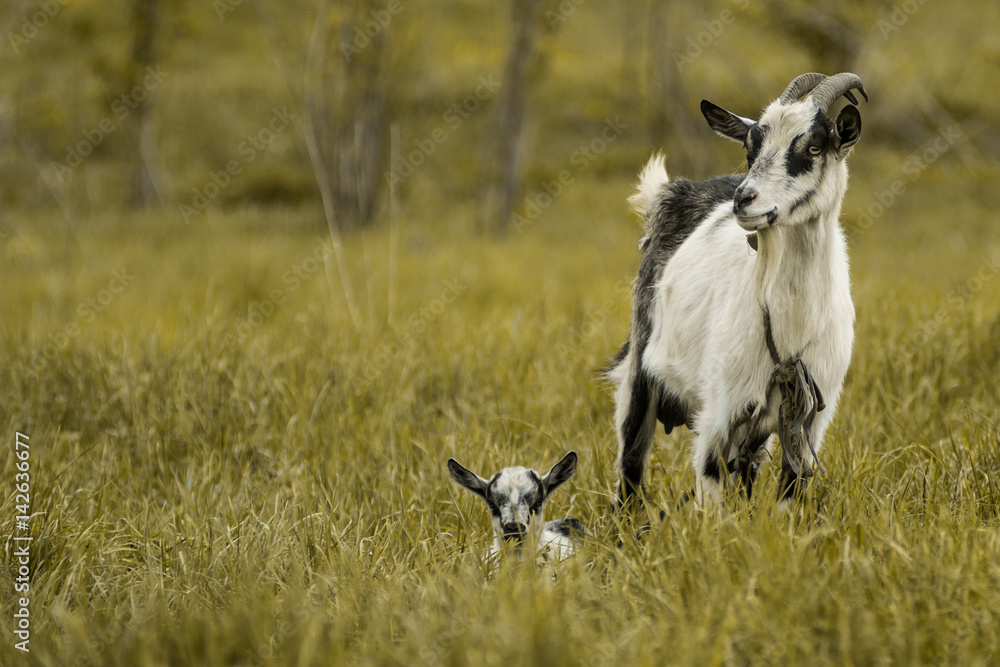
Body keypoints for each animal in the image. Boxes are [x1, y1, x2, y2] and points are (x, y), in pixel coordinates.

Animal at [607, 73, 866, 508]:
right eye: (750, 147)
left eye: (814, 146)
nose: (744, 198)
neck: (790, 322)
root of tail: (671, 193)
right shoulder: (719, 411)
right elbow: (711, 491)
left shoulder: (808, 420)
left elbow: (789, 494)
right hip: (640, 373)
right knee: (629, 470)